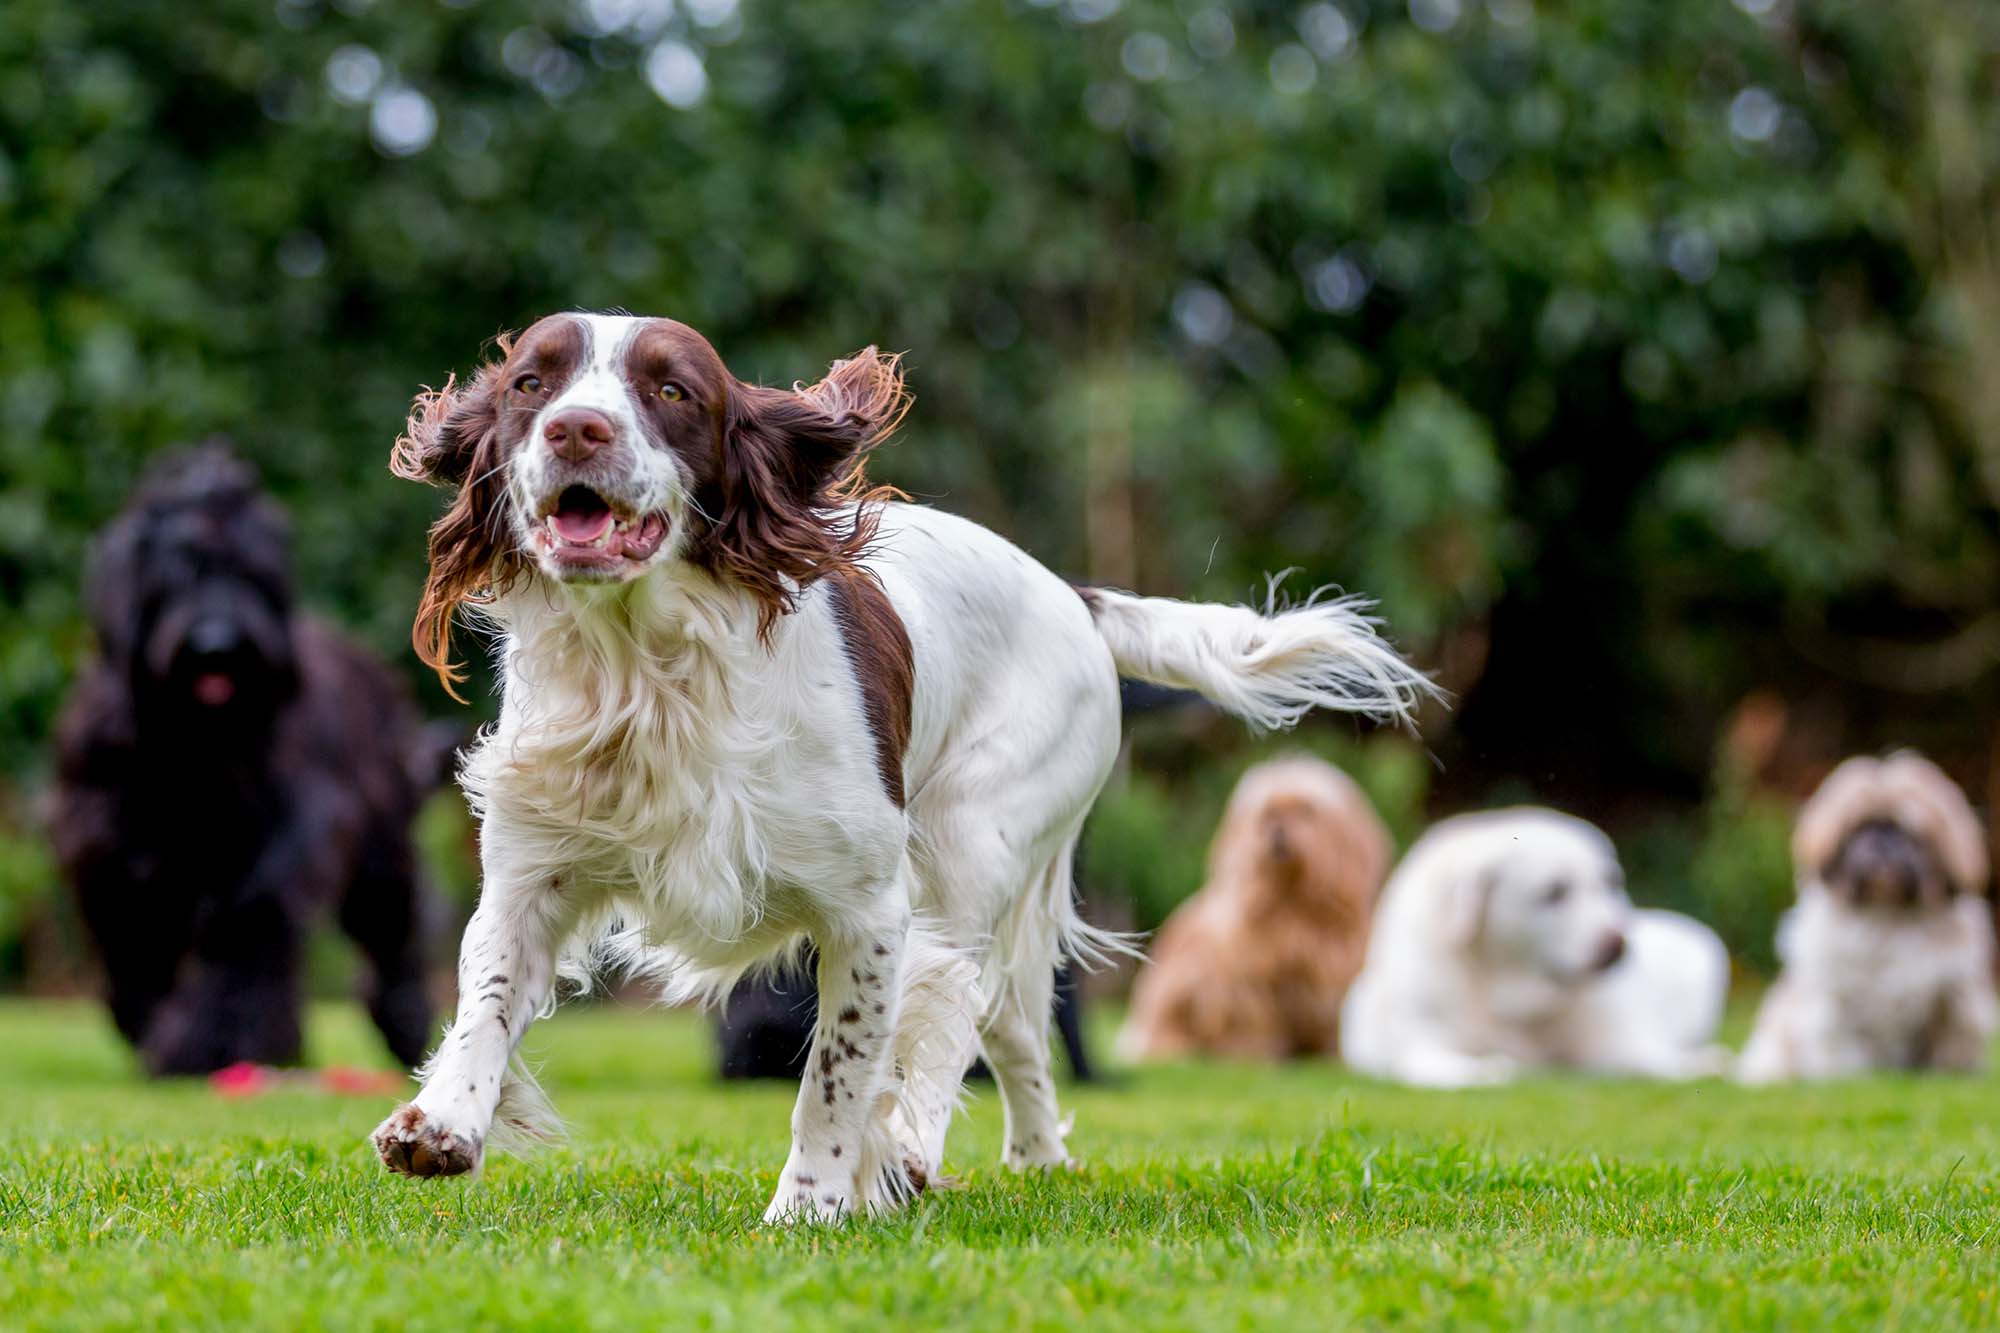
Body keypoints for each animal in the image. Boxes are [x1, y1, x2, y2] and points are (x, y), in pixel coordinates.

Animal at [50, 444, 450, 1072]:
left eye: (250, 575)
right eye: (177, 574)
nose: (218, 644)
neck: (192, 746)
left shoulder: (271, 847)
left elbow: (242, 939)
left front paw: (209, 1044)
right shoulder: (110, 848)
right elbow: (135, 946)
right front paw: (152, 1029)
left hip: (383, 846)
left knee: (393, 934)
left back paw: (404, 1026)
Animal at [1120, 756, 1384, 1056]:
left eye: (1306, 811)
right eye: (1268, 814)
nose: (1277, 831)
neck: (1293, 906)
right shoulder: (1247, 984)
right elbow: (1255, 1019)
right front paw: (1254, 1051)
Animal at [1344, 804, 1736, 1088]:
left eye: (1610, 884)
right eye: (1554, 892)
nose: (1618, 944)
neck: (1510, 993)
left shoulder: (1615, 1041)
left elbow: (1652, 1060)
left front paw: (1702, 1066)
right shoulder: (1421, 1041)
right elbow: (1442, 1065)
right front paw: (1483, 1071)